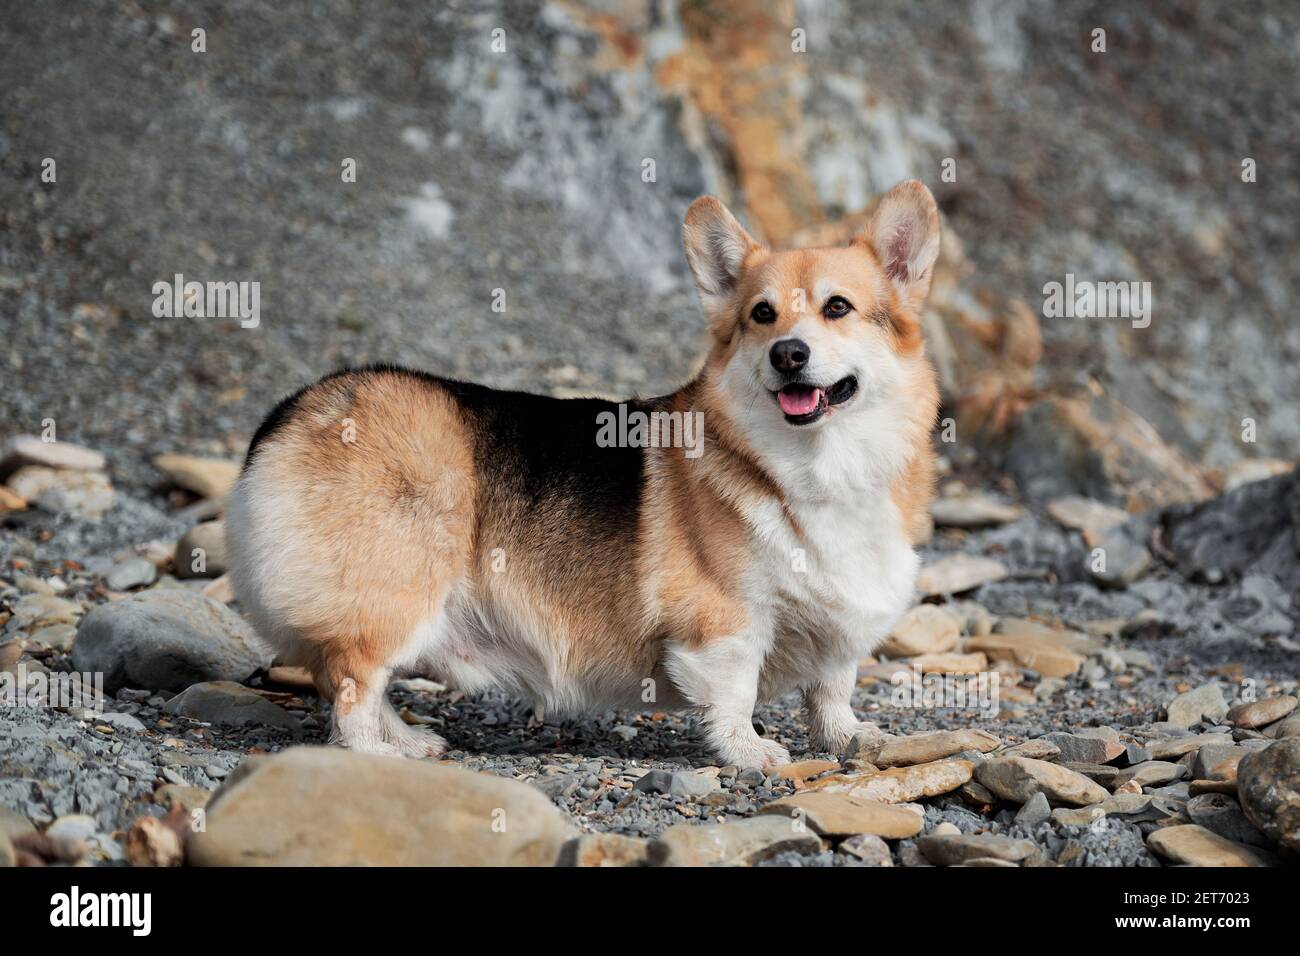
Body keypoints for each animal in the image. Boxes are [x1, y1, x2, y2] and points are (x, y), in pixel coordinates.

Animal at [228, 179, 941, 770]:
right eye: (761, 315)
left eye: (838, 307)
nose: (788, 354)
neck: (816, 464)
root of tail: (292, 412)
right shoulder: (727, 621)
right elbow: (735, 692)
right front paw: (750, 752)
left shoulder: (839, 631)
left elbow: (832, 688)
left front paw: (850, 738)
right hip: (393, 595)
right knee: (352, 685)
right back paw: (376, 754)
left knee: (354, 684)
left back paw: (407, 740)